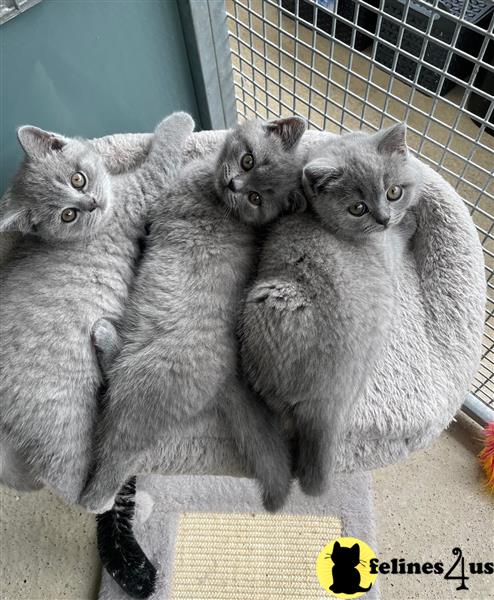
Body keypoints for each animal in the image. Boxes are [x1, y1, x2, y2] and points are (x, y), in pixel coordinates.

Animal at [0, 111, 196, 502]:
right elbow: (165, 148)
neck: (115, 195)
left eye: (78, 178)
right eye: (68, 215)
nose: (91, 203)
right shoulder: (146, 185)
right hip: (62, 417)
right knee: (73, 486)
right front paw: (179, 119)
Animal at [81, 116, 306, 510]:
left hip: (144, 381)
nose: (235, 184)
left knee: (119, 444)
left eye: (256, 198)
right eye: (248, 161)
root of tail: (227, 375)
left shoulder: (159, 207)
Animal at [238, 123, 420, 496]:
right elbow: (400, 237)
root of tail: (328, 405)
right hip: (265, 298)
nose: (384, 218)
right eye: (358, 208)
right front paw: (409, 223)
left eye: (393, 191)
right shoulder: (389, 251)